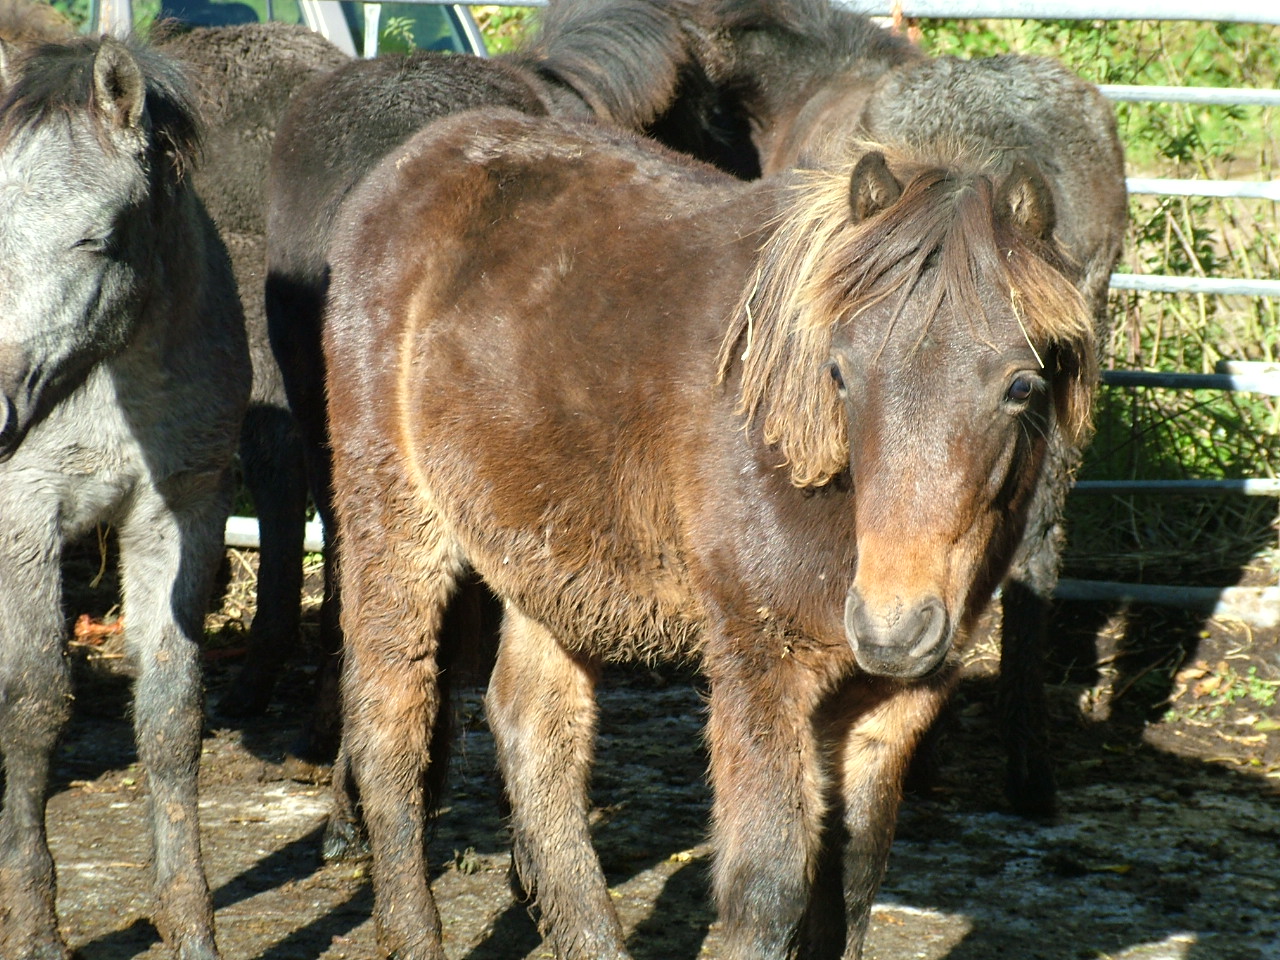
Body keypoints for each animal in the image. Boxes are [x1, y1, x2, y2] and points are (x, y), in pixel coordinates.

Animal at [0, 35, 248, 960]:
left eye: (99, 238)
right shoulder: (25, 520)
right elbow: (34, 704)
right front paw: (36, 928)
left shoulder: (180, 515)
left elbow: (171, 714)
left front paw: (190, 924)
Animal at [323, 105, 1096, 960]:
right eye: (840, 373)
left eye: (1020, 386)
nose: (893, 626)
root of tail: (419, 156)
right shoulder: (759, 666)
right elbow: (767, 888)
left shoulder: (897, 702)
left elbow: (854, 882)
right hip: (394, 519)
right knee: (390, 721)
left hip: (546, 563)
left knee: (533, 731)